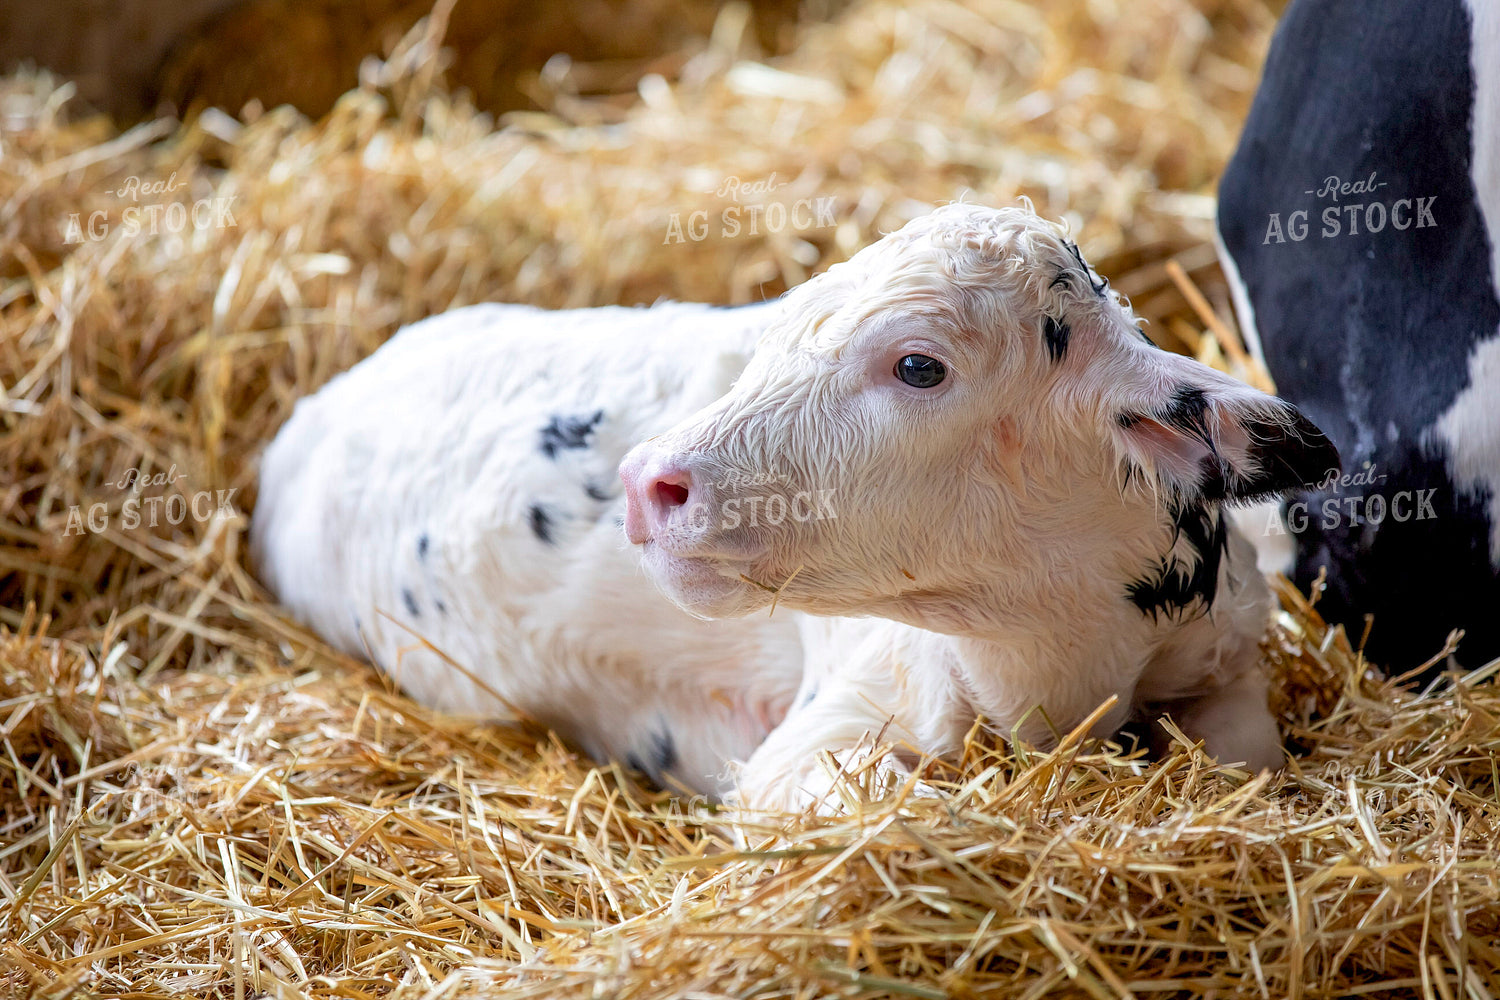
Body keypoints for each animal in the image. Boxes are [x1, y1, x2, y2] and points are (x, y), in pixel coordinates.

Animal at [254, 204, 1338, 811]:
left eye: (918, 365)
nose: (648, 481)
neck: (1060, 658)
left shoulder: (1225, 657)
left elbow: (1249, 764)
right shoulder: (814, 735)